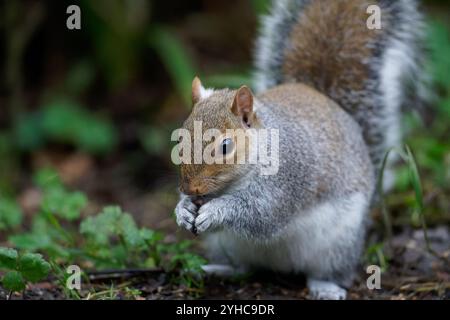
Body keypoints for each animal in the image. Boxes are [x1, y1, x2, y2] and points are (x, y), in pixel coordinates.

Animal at [174, 0, 428, 300]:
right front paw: (183, 210)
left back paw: (325, 286)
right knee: (244, 267)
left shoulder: (288, 180)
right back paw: (218, 270)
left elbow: (260, 213)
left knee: (326, 271)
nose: (190, 189)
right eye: (180, 136)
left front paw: (216, 211)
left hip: (337, 243)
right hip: (225, 245)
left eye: (225, 146)